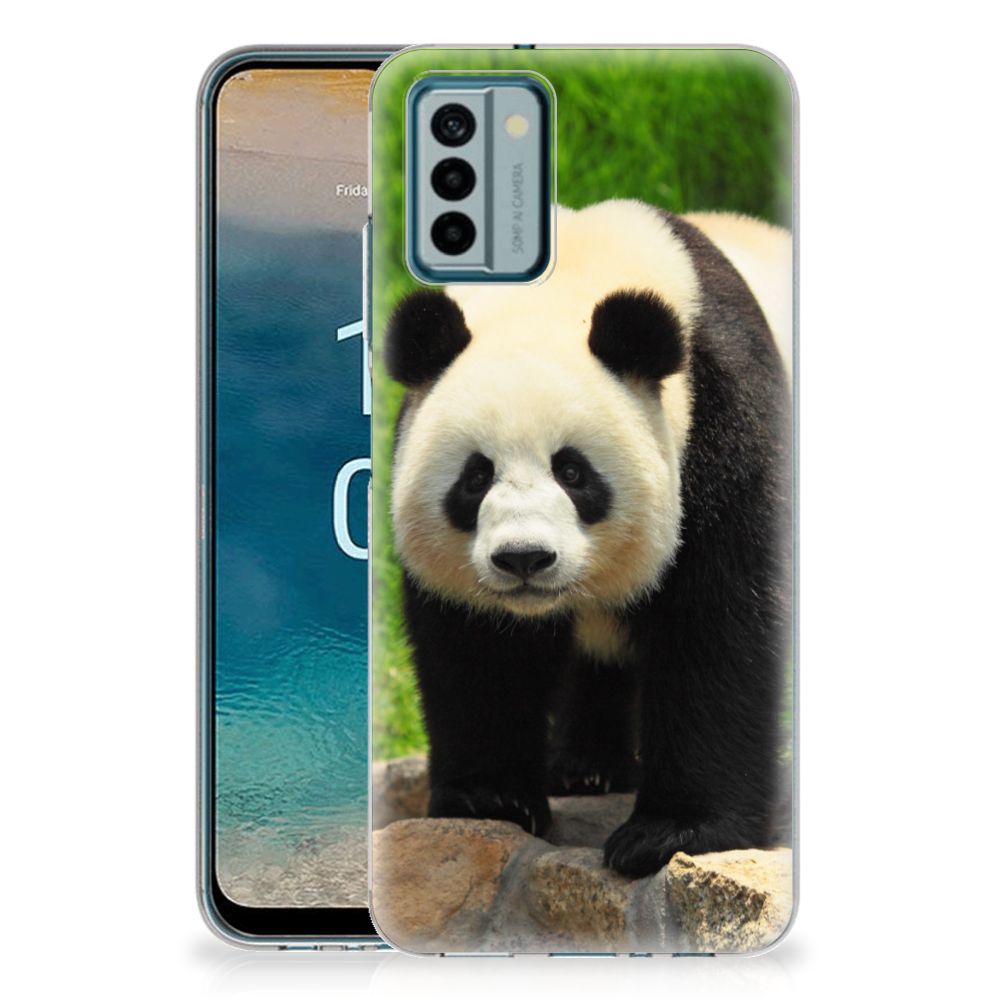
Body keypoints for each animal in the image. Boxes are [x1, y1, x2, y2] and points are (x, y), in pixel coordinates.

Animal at [383, 200, 792, 878]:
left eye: (573, 472)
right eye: (475, 476)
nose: (524, 558)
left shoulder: (724, 421)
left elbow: (718, 625)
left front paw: (671, 833)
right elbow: (477, 648)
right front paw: (490, 799)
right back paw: (586, 769)